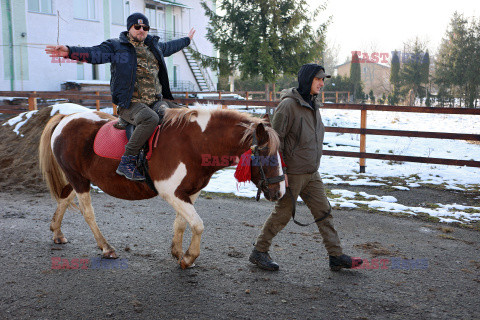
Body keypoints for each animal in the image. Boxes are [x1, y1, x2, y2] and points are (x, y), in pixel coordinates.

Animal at [39, 106, 284, 268]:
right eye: (267, 155)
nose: (279, 192)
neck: (194, 144)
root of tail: (66, 117)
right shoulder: (170, 192)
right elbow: (198, 224)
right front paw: (188, 257)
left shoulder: (189, 193)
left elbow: (182, 223)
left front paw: (178, 252)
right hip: (79, 179)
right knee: (87, 213)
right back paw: (106, 247)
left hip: (77, 178)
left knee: (64, 198)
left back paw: (57, 232)